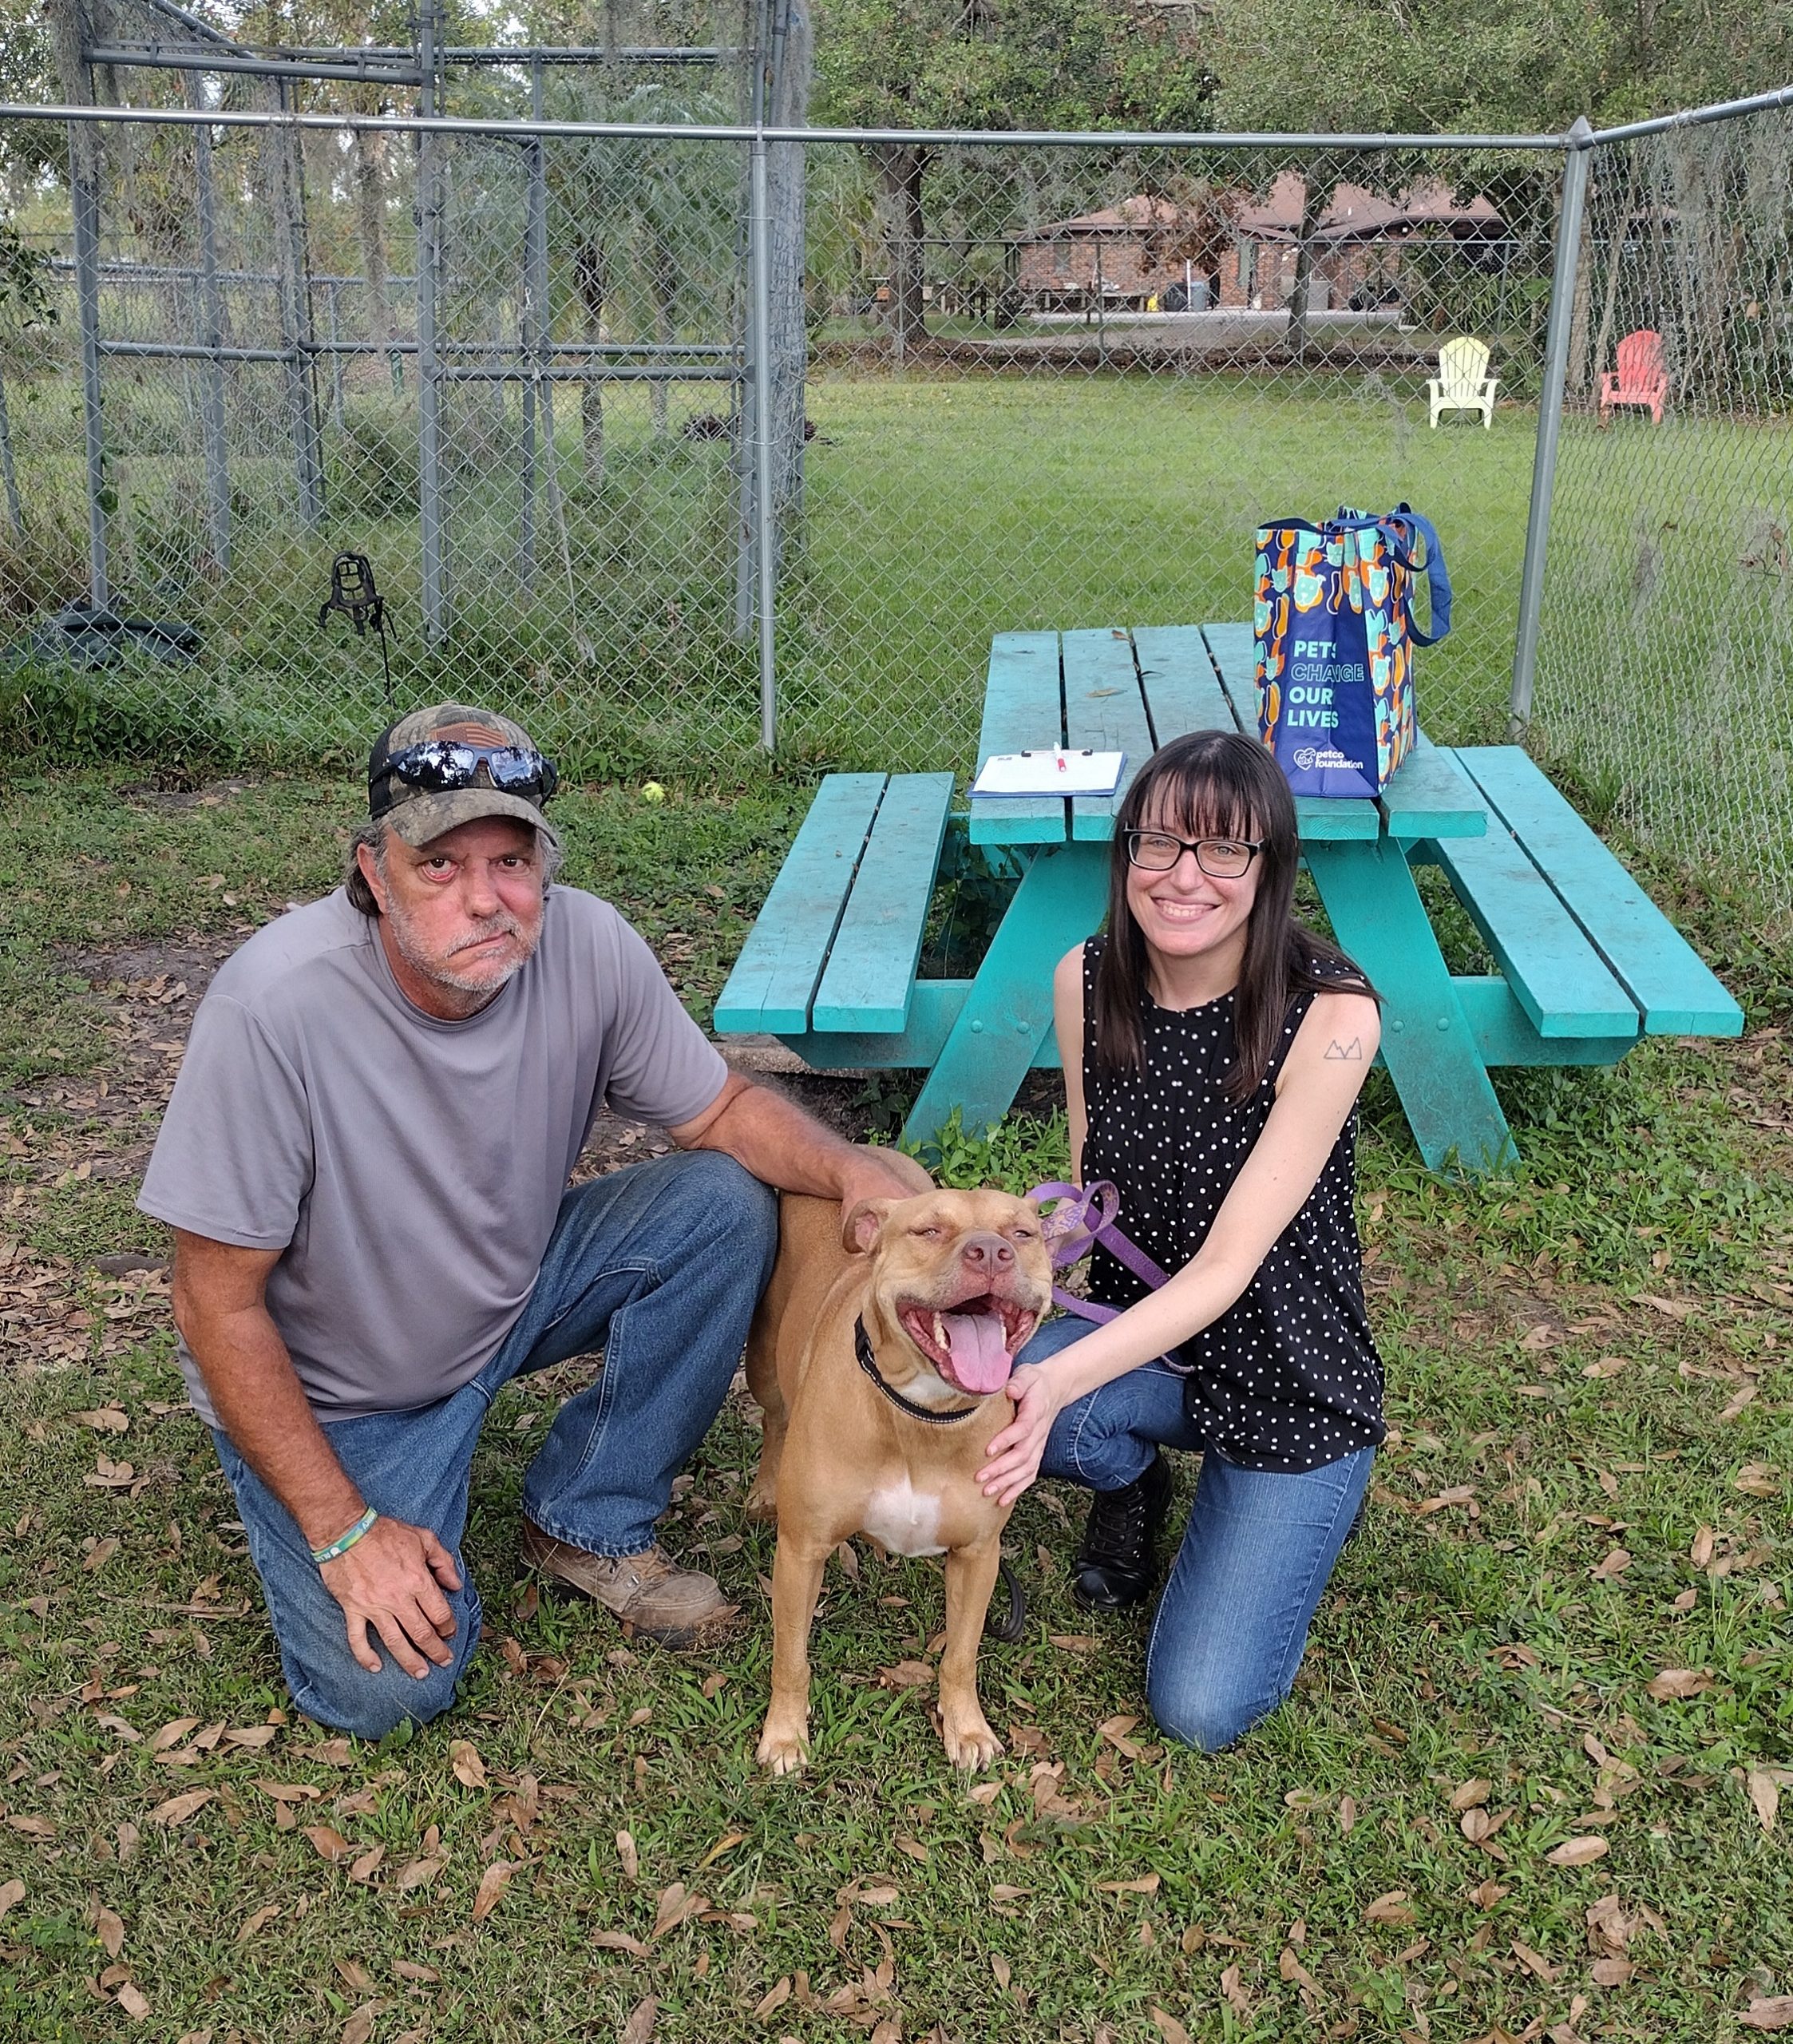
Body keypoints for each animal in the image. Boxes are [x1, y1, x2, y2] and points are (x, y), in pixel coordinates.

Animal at [748, 1152, 1055, 1774]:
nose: (992, 1252)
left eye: (1022, 1234)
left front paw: (966, 1727)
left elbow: (961, 1655)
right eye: (928, 1231)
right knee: (774, 1418)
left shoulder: (978, 1556)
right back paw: (766, 1489)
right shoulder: (801, 1552)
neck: (921, 1417)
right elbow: (790, 1658)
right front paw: (786, 1735)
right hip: (763, 1363)